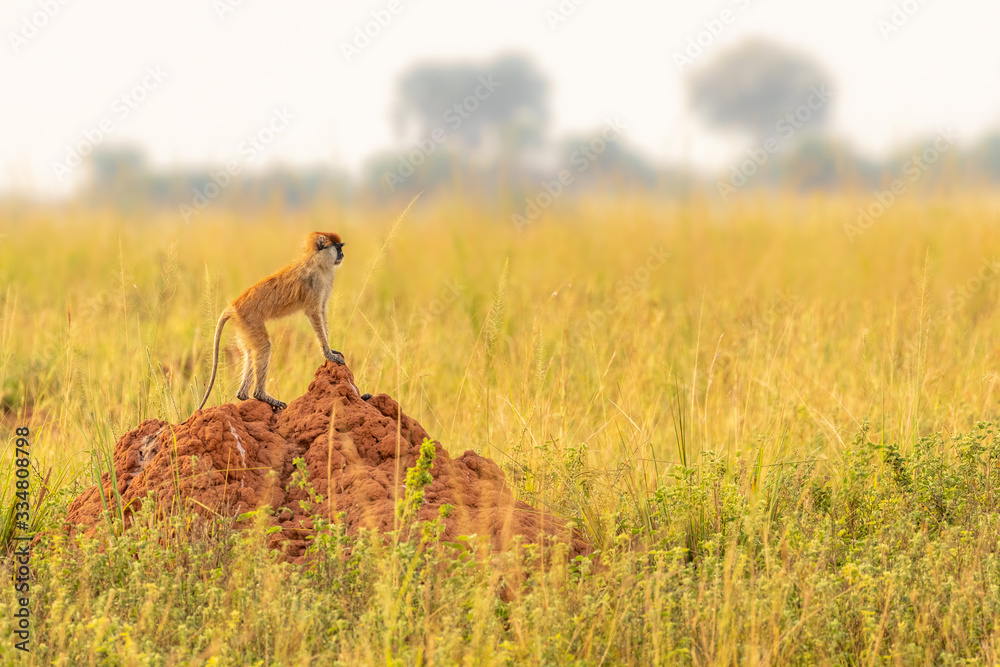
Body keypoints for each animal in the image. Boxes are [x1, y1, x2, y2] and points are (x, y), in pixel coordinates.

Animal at [197, 231, 346, 412]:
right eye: (337, 247)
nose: (342, 254)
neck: (316, 261)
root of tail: (233, 306)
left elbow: (322, 312)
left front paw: (331, 350)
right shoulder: (315, 282)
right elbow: (314, 313)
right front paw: (328, 354)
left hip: (243, 326)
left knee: (251, 351)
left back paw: (244, 395)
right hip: (249, 320)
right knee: (263, 347)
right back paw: (261, 395)